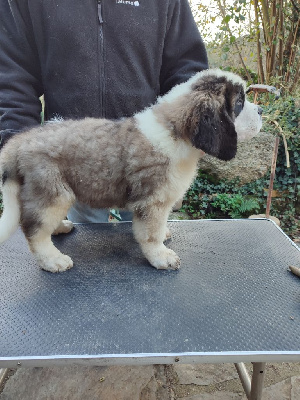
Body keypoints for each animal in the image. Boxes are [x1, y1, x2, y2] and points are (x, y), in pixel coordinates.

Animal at [0, 70, 262, 274]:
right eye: (239, 103)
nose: (261, 110)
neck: (176, 131)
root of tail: (19, 141)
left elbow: (156, 228)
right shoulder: (153, 201)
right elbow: (151, 234)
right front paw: (161, 256)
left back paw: (59, 227)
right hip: (53, 193)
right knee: (34, 231)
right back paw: (52, 259)